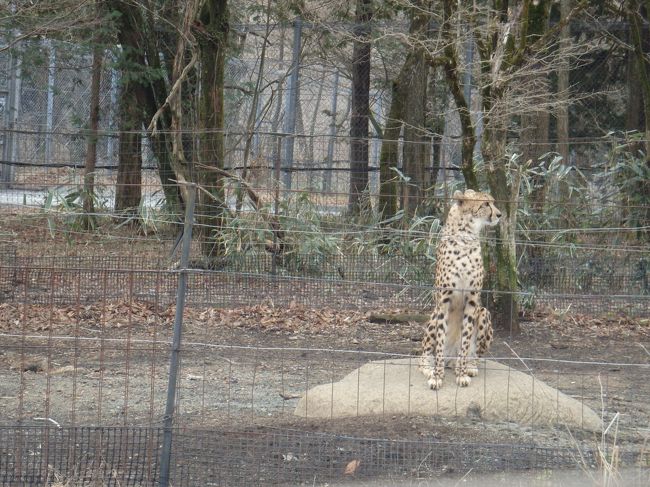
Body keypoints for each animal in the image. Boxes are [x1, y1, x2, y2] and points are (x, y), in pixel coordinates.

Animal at [418, 189, 498, 390]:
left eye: (493, 202)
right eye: (486, 204)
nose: (499, 214)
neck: (466, 236)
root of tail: (450, 359)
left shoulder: (472, 300)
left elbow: (466, 339)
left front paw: (462, 374)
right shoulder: (443, 301)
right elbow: (439, 341)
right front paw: (437, 377)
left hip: (483, 312)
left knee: (474, 354)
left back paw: (468, 366)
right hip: (433, 315)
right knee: (423, 355)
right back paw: (429, 368)